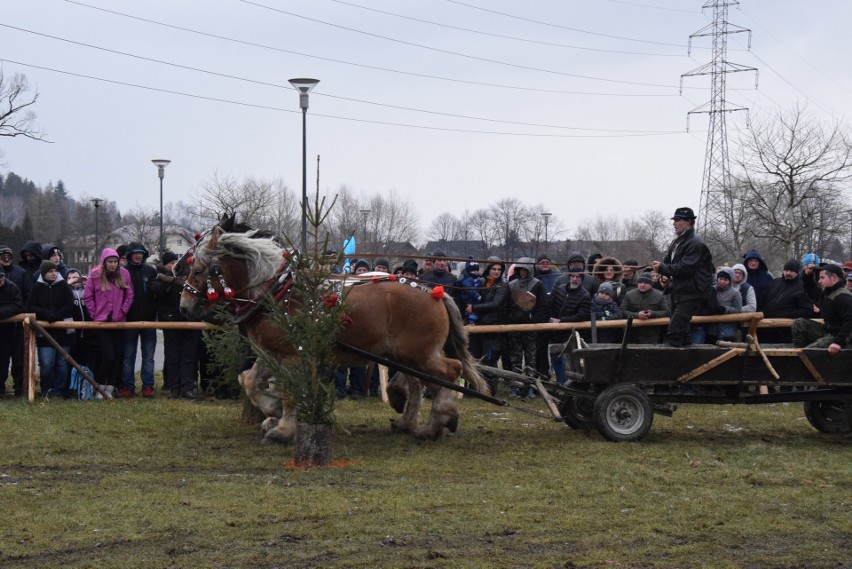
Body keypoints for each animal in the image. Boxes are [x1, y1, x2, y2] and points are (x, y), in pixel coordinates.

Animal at [178, 217, 486, 440]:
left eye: (198, 268)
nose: (184, 306)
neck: (275, 291)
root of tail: (434, 292)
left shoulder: (292, 355)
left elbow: (288, 390)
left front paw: (283, 429)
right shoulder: (270, 352)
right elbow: (251, 382)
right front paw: (273, 412)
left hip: (419, 353)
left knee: (449, 372)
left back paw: (436, 424)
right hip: (407, 355)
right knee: (418, 382)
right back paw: (410, 421)